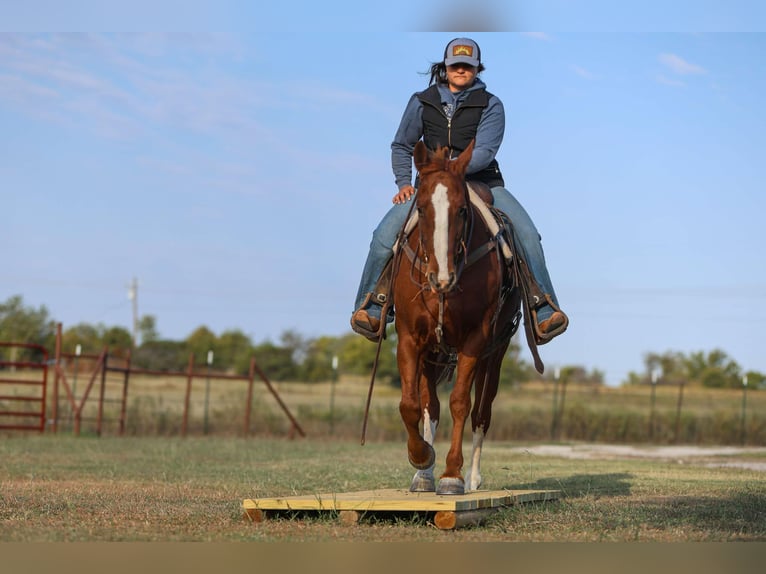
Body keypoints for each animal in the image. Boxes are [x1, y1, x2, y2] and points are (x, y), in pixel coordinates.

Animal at [391, 139, 522, 495]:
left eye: (462, 209)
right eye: (421, 208)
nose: (441, 277)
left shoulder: (474, 341)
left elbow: (461, 403)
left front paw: (452, 474)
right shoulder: (411, 339)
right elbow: (411, 404)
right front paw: (421, 458)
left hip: (494, 353)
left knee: (481, 412)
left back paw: (474, 478)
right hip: (434, 354)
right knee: (430, 407)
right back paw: (424, 475)